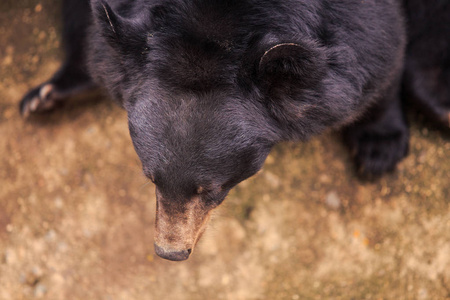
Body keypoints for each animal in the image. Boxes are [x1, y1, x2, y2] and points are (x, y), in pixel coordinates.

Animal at [19, 0, 450, 260]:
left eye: (207, 188)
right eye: (151, 178)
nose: (170, 251)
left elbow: (379, 52)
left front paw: (379, 147)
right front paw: (52, 91)